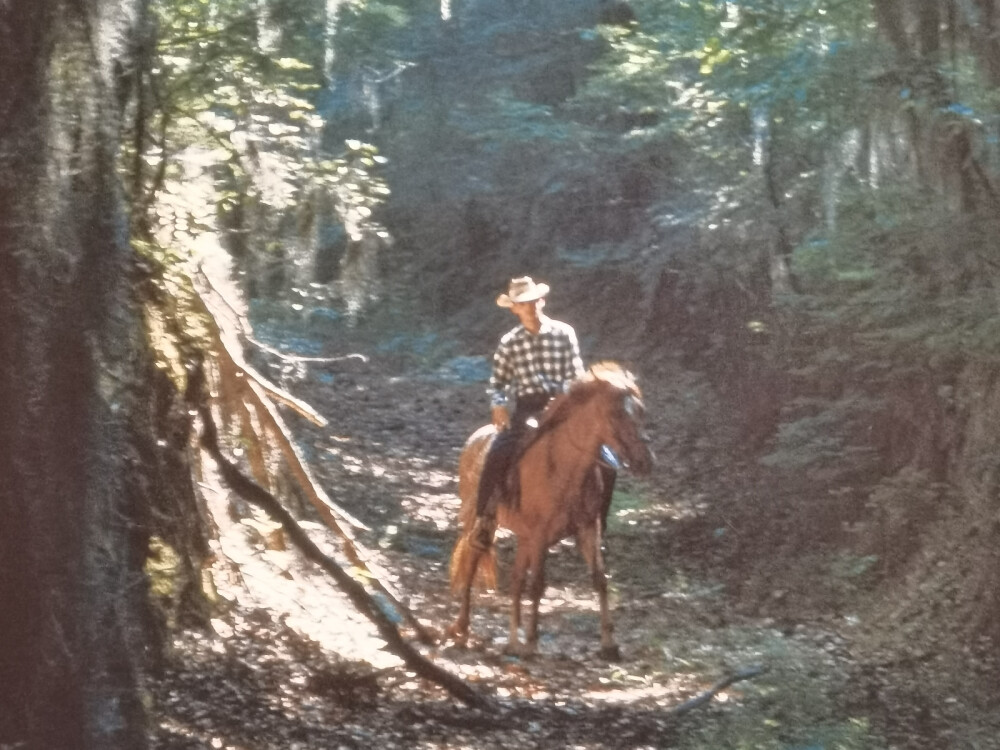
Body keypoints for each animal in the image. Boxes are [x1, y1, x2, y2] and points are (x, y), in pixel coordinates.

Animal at [448, 362, 652, 660]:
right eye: (616, 413)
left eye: (641, 410)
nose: (645, 461)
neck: (563, 468)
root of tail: (477, 437)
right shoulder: (540, 534)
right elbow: (538, 584)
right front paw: (532, 643)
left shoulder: (587, 529)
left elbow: (600, 580)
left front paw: (609, 644)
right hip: (480, 519)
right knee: (473, 558)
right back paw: (463, 627)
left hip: (523, 537)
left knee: (516, 579)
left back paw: (513, 640)